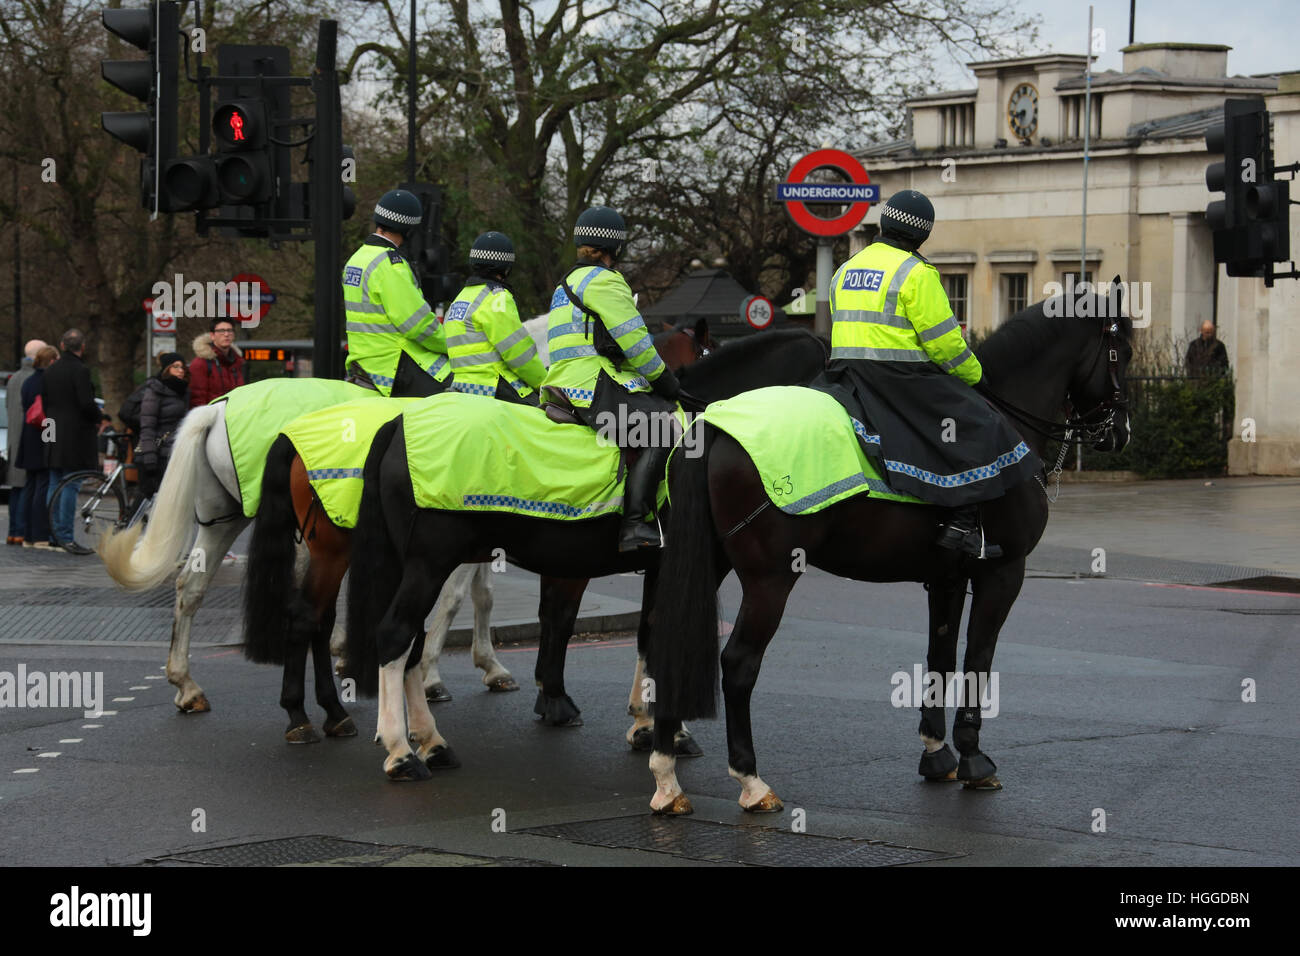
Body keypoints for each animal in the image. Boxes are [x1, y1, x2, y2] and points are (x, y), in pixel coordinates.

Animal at [343, 329, 832, 780]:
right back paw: (404, 750)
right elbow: (651, 631)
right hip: (431, 561)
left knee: (413, 637)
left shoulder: (655, 566)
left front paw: (646, 723)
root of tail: (398, 424)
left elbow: (645, 632)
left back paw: (428, 739)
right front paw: (665, 730)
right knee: (397, 634)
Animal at [644, 286, 1133, 816]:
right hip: (769, 579)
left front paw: (937, 752)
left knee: (668, 646)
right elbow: (978, 658)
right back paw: (751, 781)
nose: (1121, 432)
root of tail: (713, 423)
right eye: (1123, 352)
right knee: (737, 664)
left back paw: (667, 776)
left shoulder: (947, 577)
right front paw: (974, 757)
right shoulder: (1004, 571)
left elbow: (941, 655)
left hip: (709, 565)